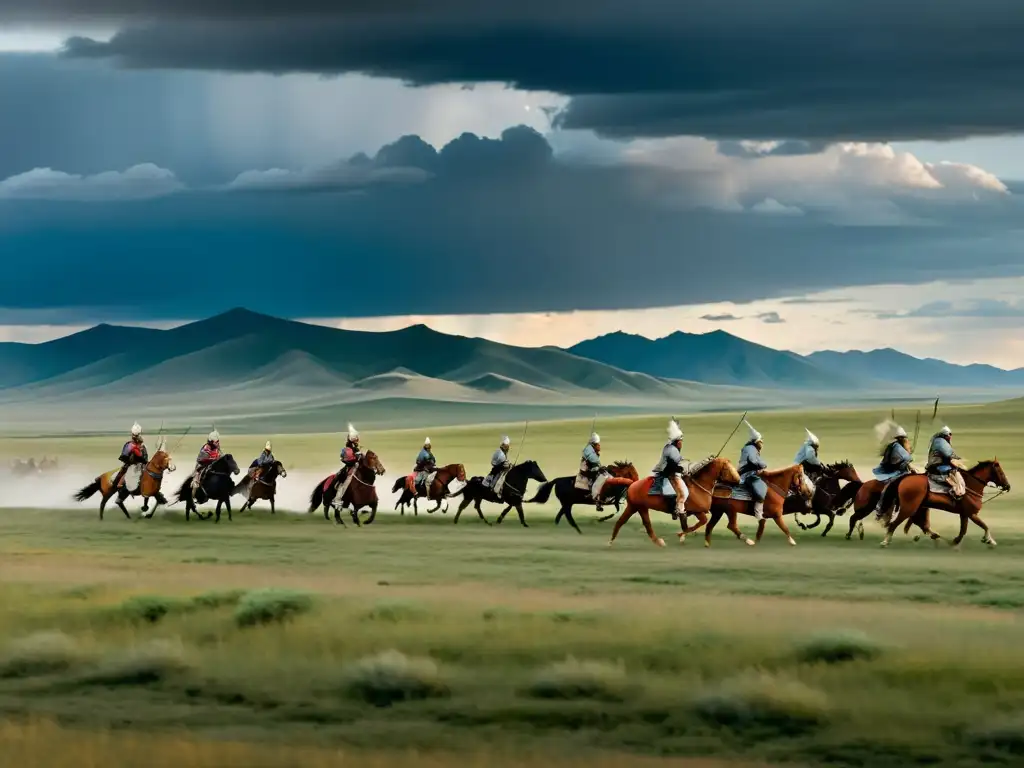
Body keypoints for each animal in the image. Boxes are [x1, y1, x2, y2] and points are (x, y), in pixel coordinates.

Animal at [606, 456, 745, 548]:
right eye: (728, 468)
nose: (738, 480)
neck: (699, 486)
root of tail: (633, 484)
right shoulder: (695, 511)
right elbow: (700, 522)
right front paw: (681, 535)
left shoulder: (694, 512)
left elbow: (694, 524)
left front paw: (682, 535)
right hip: (636, 507)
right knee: (630, 523)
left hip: (638, 507)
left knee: (636, 523)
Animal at [872, 460, 1007, 548]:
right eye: (1001, 473)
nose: (1008, 486)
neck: (970, 485)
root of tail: (904, 479)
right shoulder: (971, 513)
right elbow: (984, 525)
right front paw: (990, 540)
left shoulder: (964, 514)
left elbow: (963, 530)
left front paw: (955, 541)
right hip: (909, 508)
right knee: (895, 523)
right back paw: (885, 541)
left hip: (918, 507)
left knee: (918, 523)